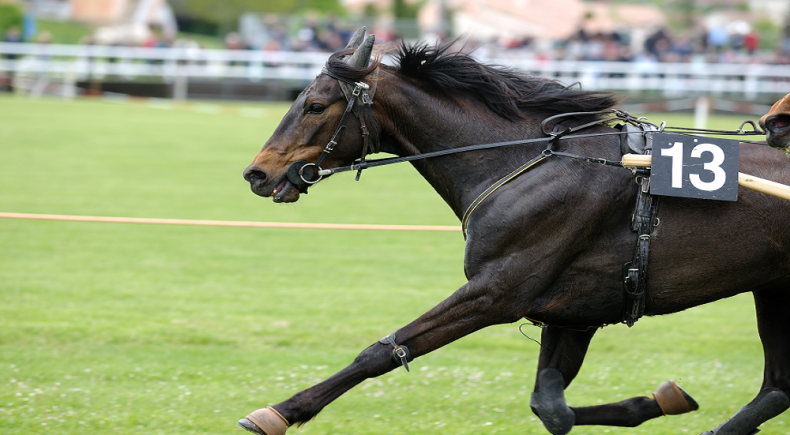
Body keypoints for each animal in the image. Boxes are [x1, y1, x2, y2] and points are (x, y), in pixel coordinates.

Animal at [240, 29, 790, 434]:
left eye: (315, 105)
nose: (257, 173)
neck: (522, 162)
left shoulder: (497, 292)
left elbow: (382, 351)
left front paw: (278, 413)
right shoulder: (572, 312)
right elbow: (552, 408)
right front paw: (658, 400)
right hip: (771, 290)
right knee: (777, 388)